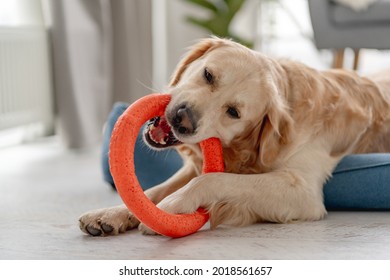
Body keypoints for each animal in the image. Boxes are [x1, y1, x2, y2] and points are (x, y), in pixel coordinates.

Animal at [78, 36, 390, 235]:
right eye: (208, 75)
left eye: (233, 112)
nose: (182, 118)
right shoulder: (191, 167)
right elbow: (151, 191)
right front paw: (109, 214)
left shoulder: (302, 190)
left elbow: (213, 179)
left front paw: (174, 206)